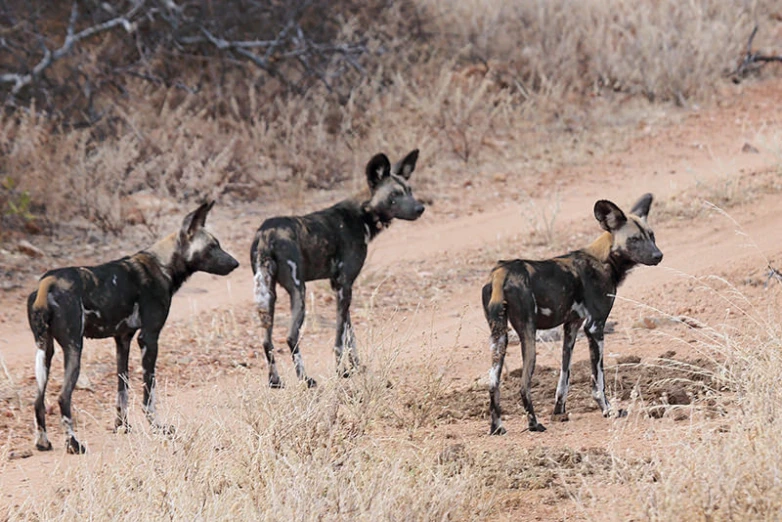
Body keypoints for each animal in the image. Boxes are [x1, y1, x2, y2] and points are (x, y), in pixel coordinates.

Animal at [27, 201, 239, 452]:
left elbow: (123, 389)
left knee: (38, 400)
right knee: (62, 397)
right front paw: (157, 427)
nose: (235, 263)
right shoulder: (149, 338)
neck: (163, 264)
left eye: (218, 244)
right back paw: (73, 444)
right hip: (73, 349)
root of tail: (47, 283)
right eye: (212, 247)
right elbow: (149, 394)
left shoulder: (123, 340)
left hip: (45, 351)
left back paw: (43, 442)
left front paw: (122, 426)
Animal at [251, 148, 426, 384]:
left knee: (266, 341)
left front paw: (356, 367)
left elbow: (349, 335)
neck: (363, 214)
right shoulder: (345, 286)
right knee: (291, 336)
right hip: (299, 292)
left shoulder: (339, 287)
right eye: (394, 195)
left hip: (268, 296)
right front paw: (342, 372)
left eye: (409, 191)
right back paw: (306, 380)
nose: (420, 208)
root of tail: (266, 233)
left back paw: (275, 382)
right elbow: (339, 340)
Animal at [484, 193, 660, 432]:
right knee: (523, 384)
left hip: (499, 338)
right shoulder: (594, 327)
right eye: (634, 239)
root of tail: (502, 271)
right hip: (528, 336)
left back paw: (497, 428)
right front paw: (608, 410)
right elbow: (598, 380)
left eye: (651, 236)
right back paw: (534, 424)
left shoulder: (572, 327)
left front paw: (559, 411)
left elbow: (564, 377)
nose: (658, 255)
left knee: (493, 382)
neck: (603, 259)